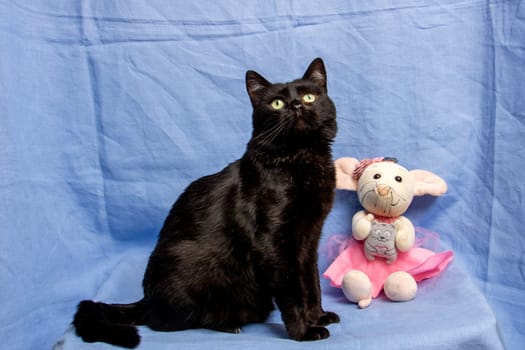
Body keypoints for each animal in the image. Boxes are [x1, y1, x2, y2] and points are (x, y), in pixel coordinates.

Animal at [73, 57, 340, 348]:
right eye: (277, 103)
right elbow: (291, 292)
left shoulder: (308, 239)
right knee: (164, 322)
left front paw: (318, 316)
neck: (302, 158)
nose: (296, 105)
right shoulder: (274, 244)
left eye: (309, 96)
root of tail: (145, 299)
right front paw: (303, 331)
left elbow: (311, 283)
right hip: (190, 267)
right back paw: (227, 324)